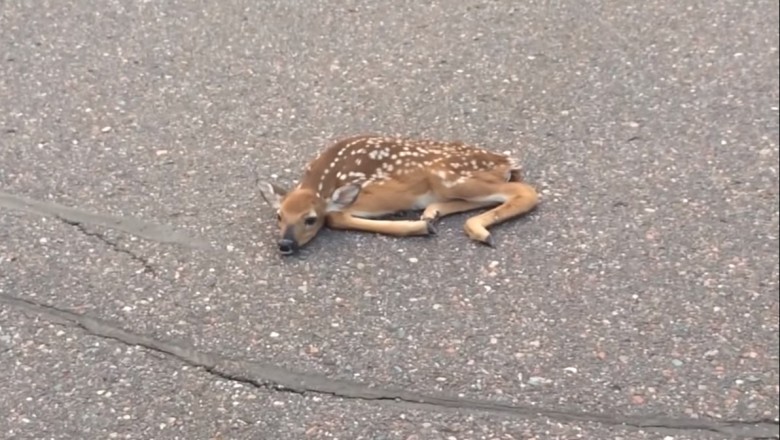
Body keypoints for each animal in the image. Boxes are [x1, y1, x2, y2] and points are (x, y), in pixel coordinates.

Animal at [258, 136, 540, 256]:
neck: (321, 183)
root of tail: (505, 161)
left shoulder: (371, 195)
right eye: (279, 216)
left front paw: (417, 227)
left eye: (310, 219)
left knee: (526, 191)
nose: (285, 244)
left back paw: (478, 230)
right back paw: (432, 213)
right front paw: (424, 223)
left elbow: (335, 217)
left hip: (449, 177)